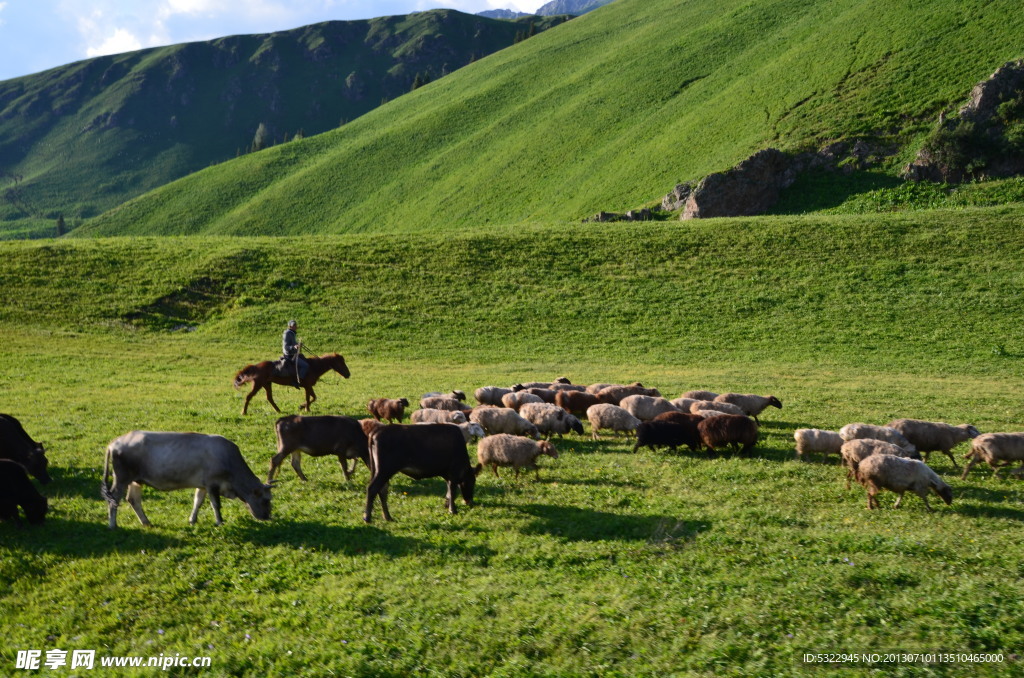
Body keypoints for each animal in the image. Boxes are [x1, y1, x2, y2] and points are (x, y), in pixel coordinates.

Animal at [101, 436, 274, 532]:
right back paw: (113, 525)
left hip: (135, 481)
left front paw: (192, 519)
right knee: (114, 499)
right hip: (122, 478)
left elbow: (198, 501)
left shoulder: (202, 485)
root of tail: (113, 443)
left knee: (133, 499)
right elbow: (216, 505)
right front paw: (220, 522)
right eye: (266, 500)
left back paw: (146, 522)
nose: (267, 517)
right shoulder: (212, 483)